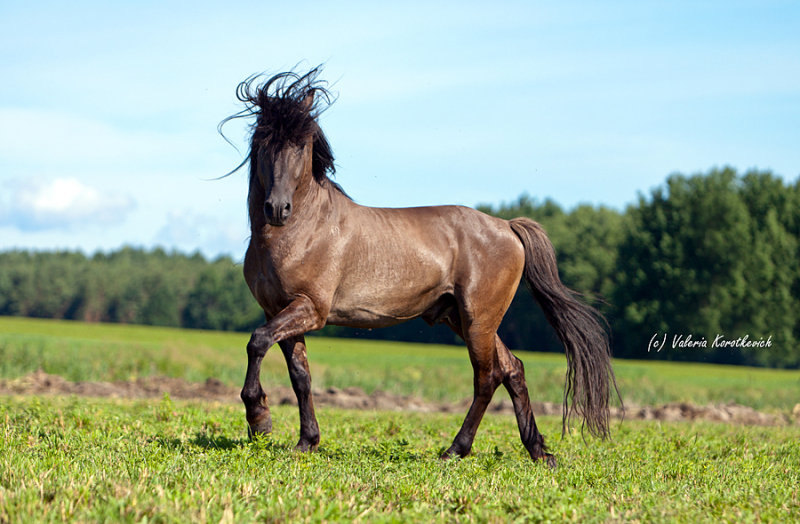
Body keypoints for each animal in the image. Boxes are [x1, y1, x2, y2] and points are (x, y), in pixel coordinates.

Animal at [222, 66, 620, 466]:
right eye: (262, 139)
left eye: (302, 144)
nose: (277, 208)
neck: (302, 230)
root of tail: (507, 226)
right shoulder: (279, 309)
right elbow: (299, 376)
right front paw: (306, 441)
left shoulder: (310, 309)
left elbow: (257, 341)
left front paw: (260, 420)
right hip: (461, 317)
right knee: (513, 369)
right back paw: (538, 450)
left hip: (478, 319)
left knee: (487, 377)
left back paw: (455, 450)